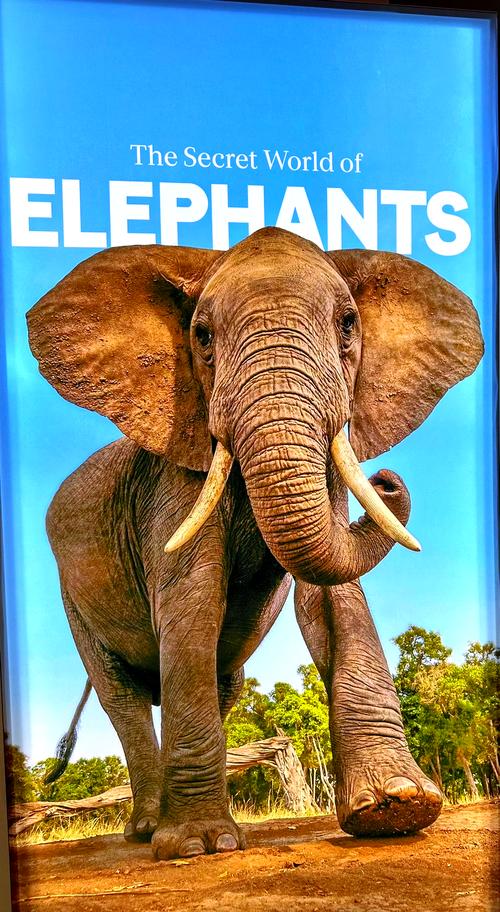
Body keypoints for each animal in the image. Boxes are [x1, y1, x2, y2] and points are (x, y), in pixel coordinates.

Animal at [27, 227, 483, 860]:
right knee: (121, 694)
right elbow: (191, 600)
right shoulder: (173, 474)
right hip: (71, 598)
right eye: (202, 336)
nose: (388, 481)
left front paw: (396, 807)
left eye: (348, 324)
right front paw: (197, 845)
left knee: (222, 680)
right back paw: (148, 830)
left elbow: (332, 594)